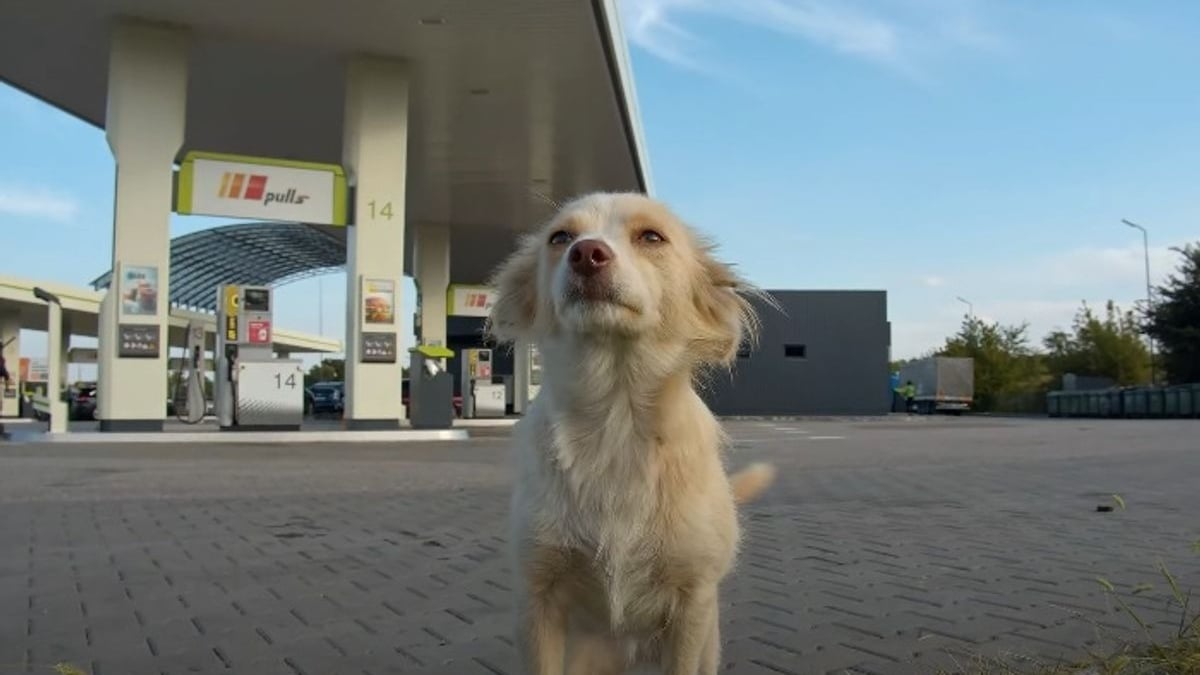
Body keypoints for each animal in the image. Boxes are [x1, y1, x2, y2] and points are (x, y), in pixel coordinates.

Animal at [487, 192, 777, 667]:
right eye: (559, 237)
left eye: (651, 237)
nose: (586, 253)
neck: (615, 418)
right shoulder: (537, 599)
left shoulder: (691, 606)